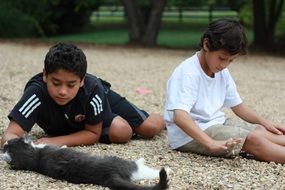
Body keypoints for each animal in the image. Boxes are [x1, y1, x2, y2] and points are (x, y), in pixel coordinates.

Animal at [2, 136, 168, 189]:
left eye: (7, 144)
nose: (3, 145)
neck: (36, 157)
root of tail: (110, 176)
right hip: (125, 164)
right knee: (144, 170)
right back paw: (164, 168)